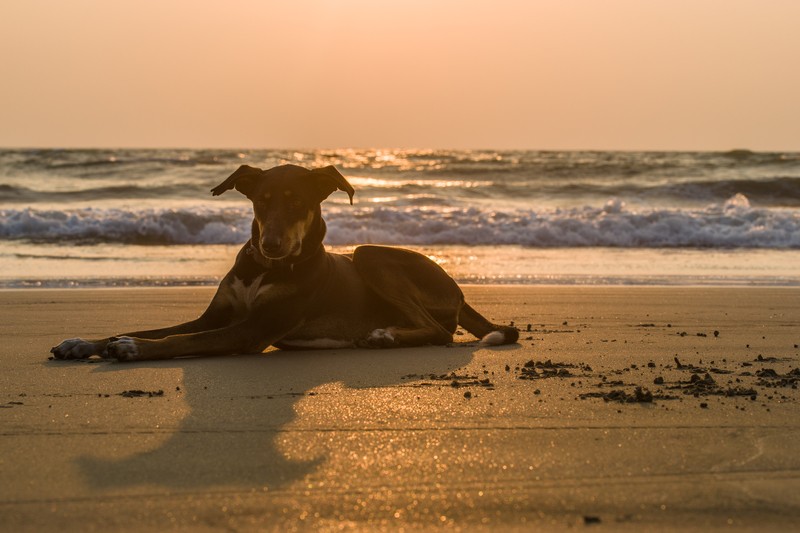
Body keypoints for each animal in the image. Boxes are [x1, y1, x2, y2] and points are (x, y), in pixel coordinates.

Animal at [53, 163, 520, 362]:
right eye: (261, 201)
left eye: (298, 203)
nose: (273, 244)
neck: (263, 270)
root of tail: (459, 291)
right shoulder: (216, 314)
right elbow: (160, 327)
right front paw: (83, 343)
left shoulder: (253, 329)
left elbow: (181, 340)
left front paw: (132, 348)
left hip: (370, 255)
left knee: (440, 331)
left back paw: (385, 336)